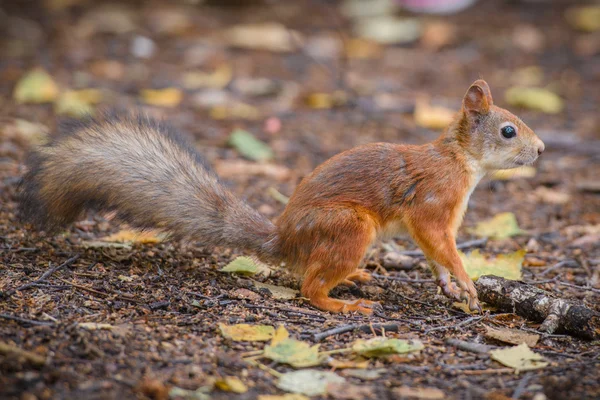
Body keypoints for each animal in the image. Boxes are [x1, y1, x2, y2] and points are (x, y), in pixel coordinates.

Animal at [18, 79, 544, 314]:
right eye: (508, 130)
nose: (541, 149)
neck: (462, 161)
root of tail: (284, 239)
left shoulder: (440, 220)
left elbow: (436, 257)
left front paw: (452, 287)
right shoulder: (435, 205)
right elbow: (441, 246)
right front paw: (468, 282)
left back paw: (357, 278)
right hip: (349, 227)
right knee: (309, 288)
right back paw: (342, 304)